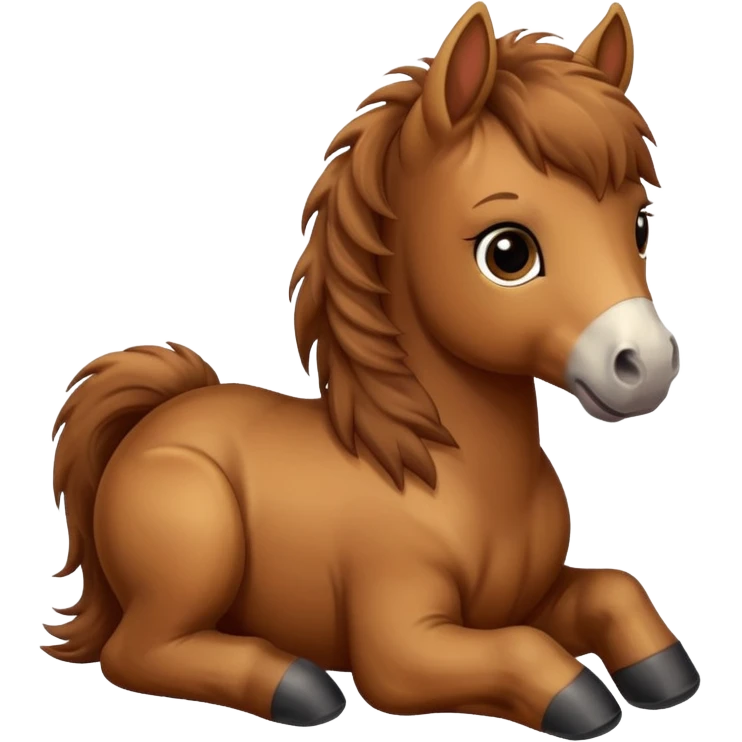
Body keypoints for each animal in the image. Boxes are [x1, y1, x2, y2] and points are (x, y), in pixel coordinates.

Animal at [44, 2, 699, 738]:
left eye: (639, 224)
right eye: (508, 252)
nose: (645, 364)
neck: (438, 471)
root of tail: (156, 414)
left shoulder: (531, 595)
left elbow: (615, 589)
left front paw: (666, 673)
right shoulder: (403, 647)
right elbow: (523, 653)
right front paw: (584, 699)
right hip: (193, 536)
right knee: (138, 651)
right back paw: (297, 685)